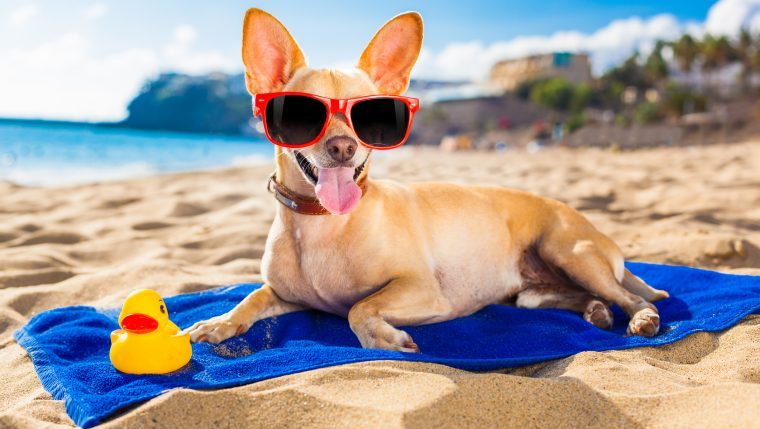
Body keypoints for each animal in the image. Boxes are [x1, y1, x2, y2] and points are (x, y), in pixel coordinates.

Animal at [187, 9, 668, 352]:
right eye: (302, 114)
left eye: (370, 115)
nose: (343, 147)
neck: (321, 225)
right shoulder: (284, 294)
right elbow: (250, 298)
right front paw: (219, 321)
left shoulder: (421, 290)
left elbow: (359, 308)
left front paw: (383, 337)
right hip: (532, 293)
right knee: (579, 297)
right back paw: (595, 312)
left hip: (569, 252)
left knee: (632, 296)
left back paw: (639, 317)